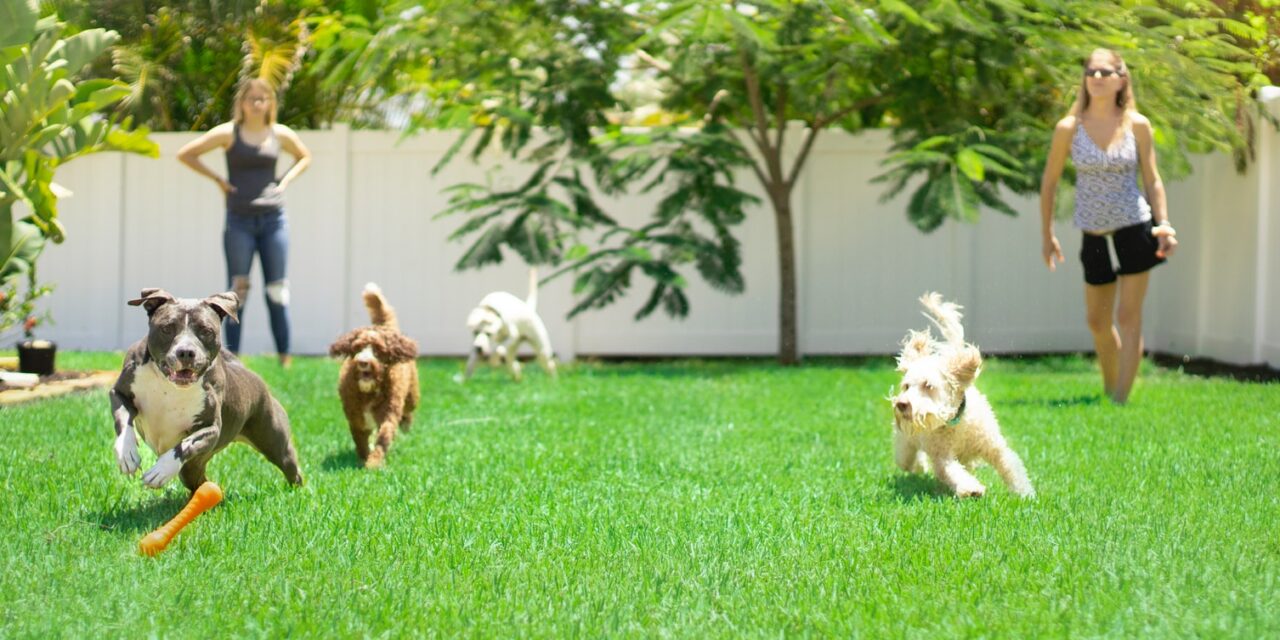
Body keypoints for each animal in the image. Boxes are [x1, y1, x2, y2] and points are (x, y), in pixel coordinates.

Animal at [896, 293, 1034, 496]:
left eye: (928, 385)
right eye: (906, 386)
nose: (902, 404)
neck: (957, 423)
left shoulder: (993, 446)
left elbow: (1010, 466)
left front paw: (1025, 493)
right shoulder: (942, 456)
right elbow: (952, 471)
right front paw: (972, 488)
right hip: (905, 443)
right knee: (908, 458)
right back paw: (919, 467)